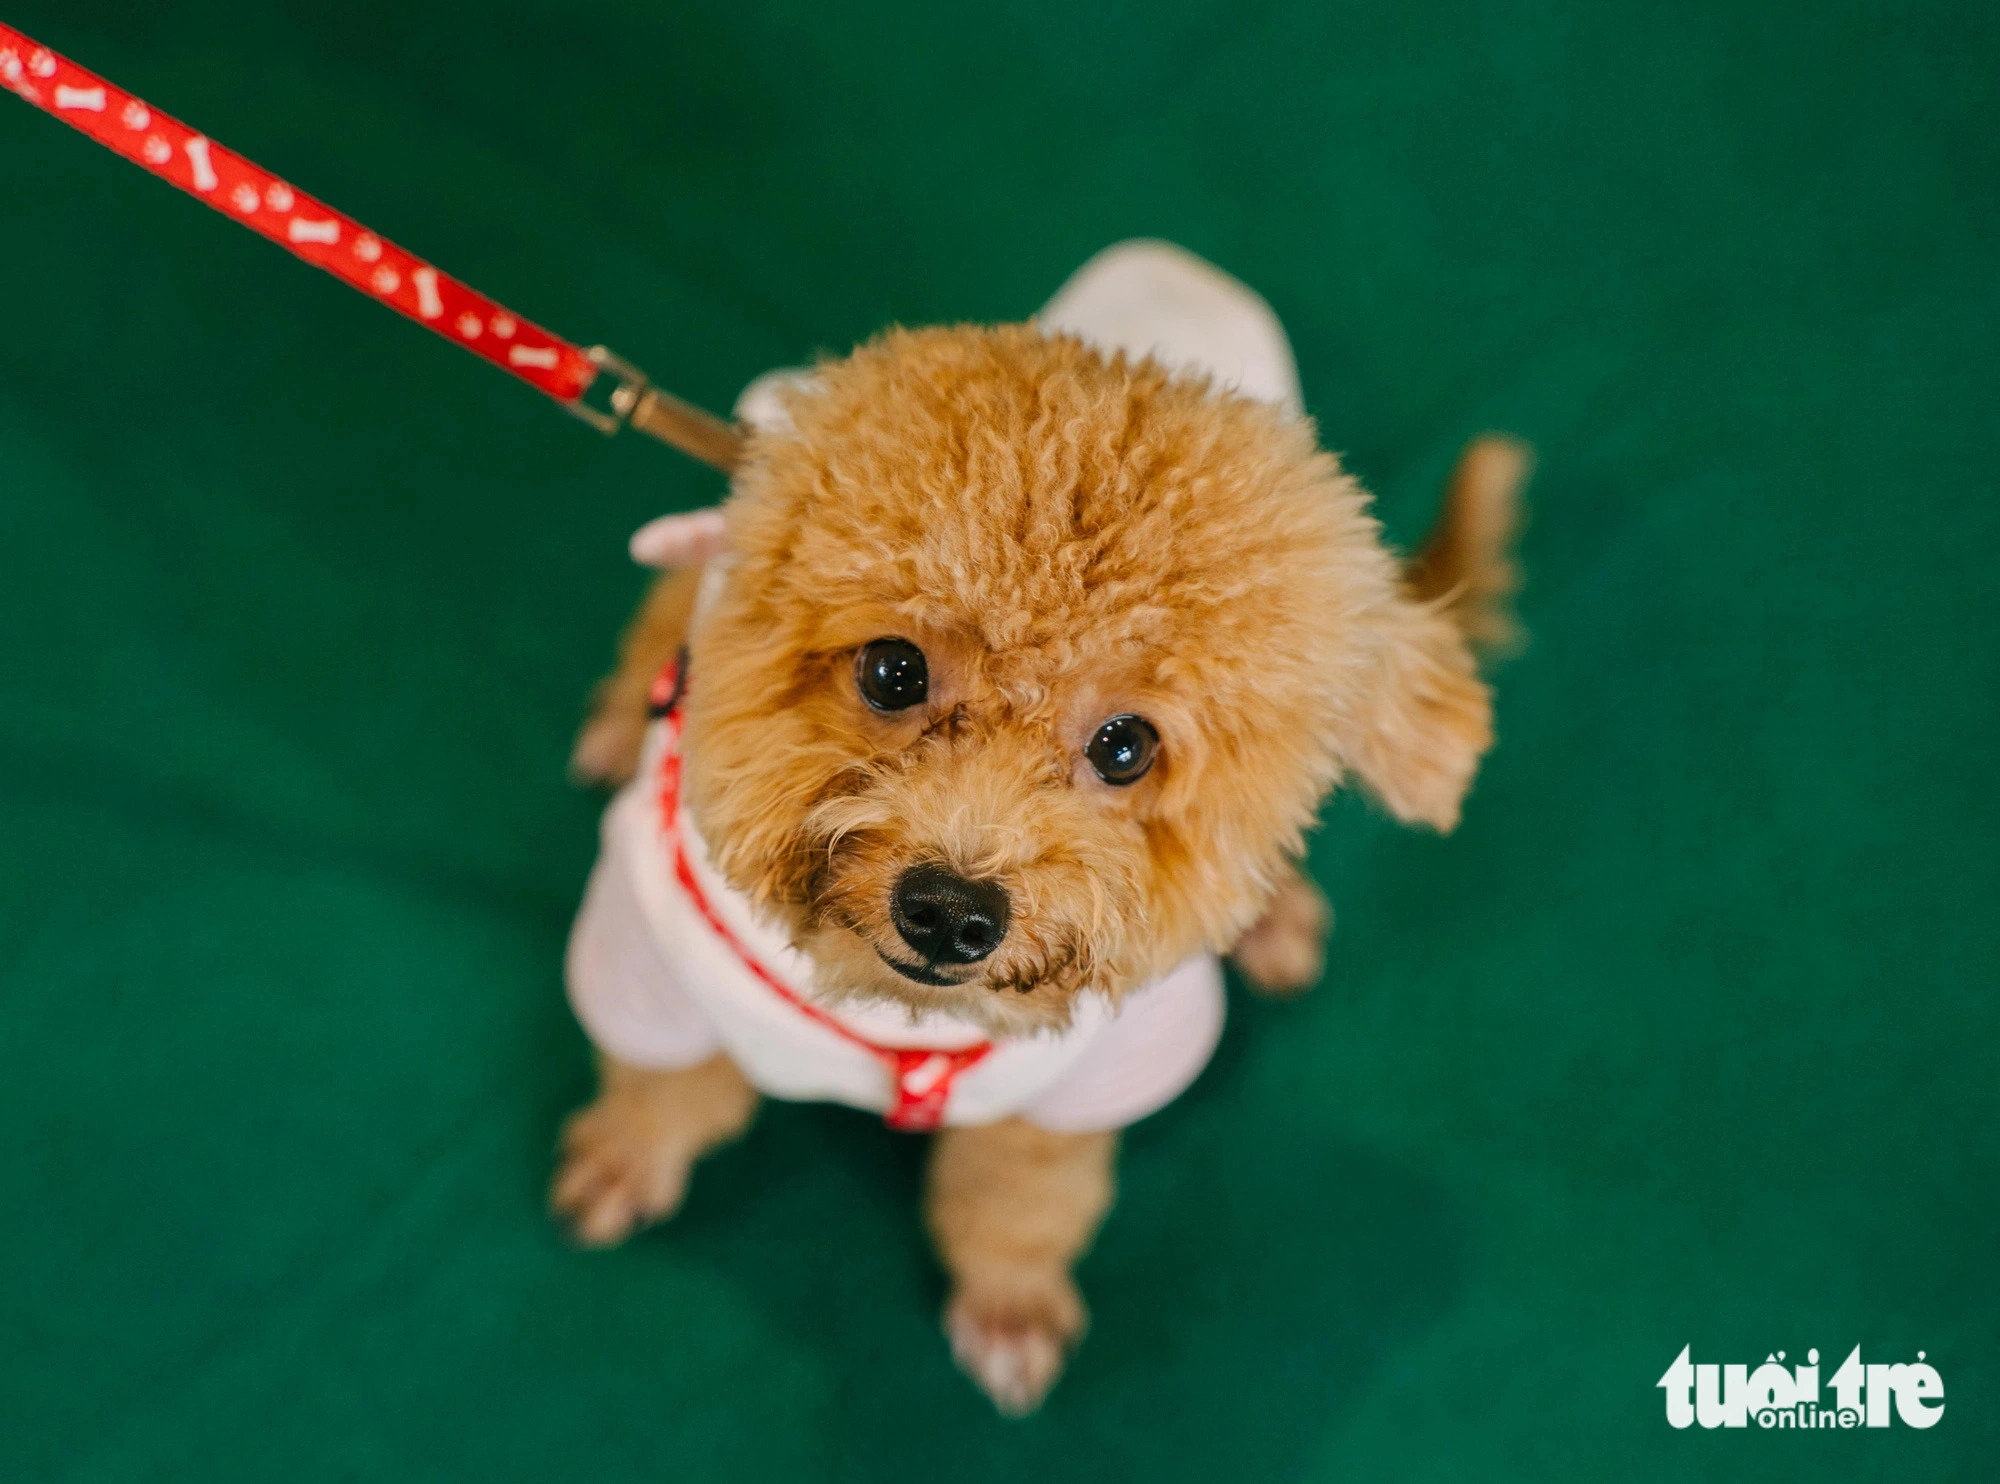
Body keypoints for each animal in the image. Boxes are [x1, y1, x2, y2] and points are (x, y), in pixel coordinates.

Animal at [548, 241, 1512, 1416]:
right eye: (892, 669)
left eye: (1125, 746)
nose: (950, 911)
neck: (905, 1019)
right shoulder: (657, 944)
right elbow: (657, 1079)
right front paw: (627, 1153)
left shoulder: (1095, 1075)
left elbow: (1021, 1191)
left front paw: (1008, 1299)